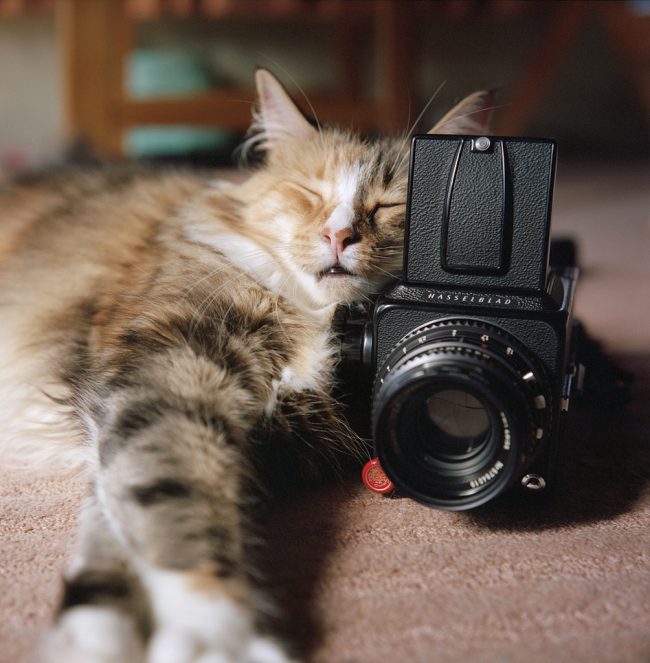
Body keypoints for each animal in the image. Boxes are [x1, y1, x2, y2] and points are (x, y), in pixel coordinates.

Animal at [0, 71, 488, 663]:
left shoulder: (251, 426)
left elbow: (131, 513)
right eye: (309, 194)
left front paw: (124, 636)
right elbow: (168, 499)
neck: (322, 321)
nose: (338, 236)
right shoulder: (165, 371)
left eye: (390, 206)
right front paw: (213, 633)